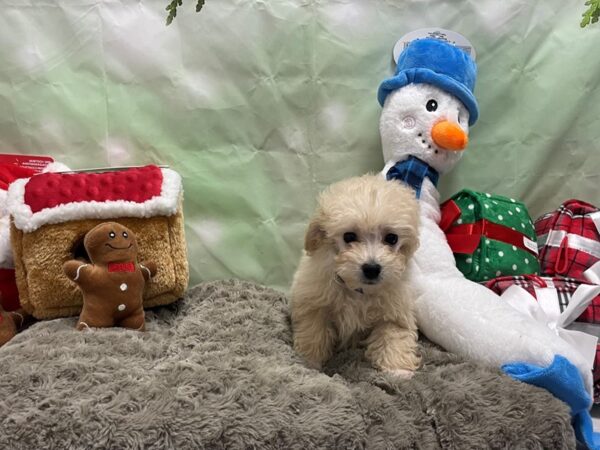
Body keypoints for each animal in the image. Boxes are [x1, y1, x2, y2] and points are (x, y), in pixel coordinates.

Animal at [290, 174, 422, 374]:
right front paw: (310, 361)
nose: (372, 268)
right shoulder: (314, 304)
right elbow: (314, 333)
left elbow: (395, 335)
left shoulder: (395, 312)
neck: (358, 290)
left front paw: (397, 370)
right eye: (349, 236)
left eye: (392, 238)